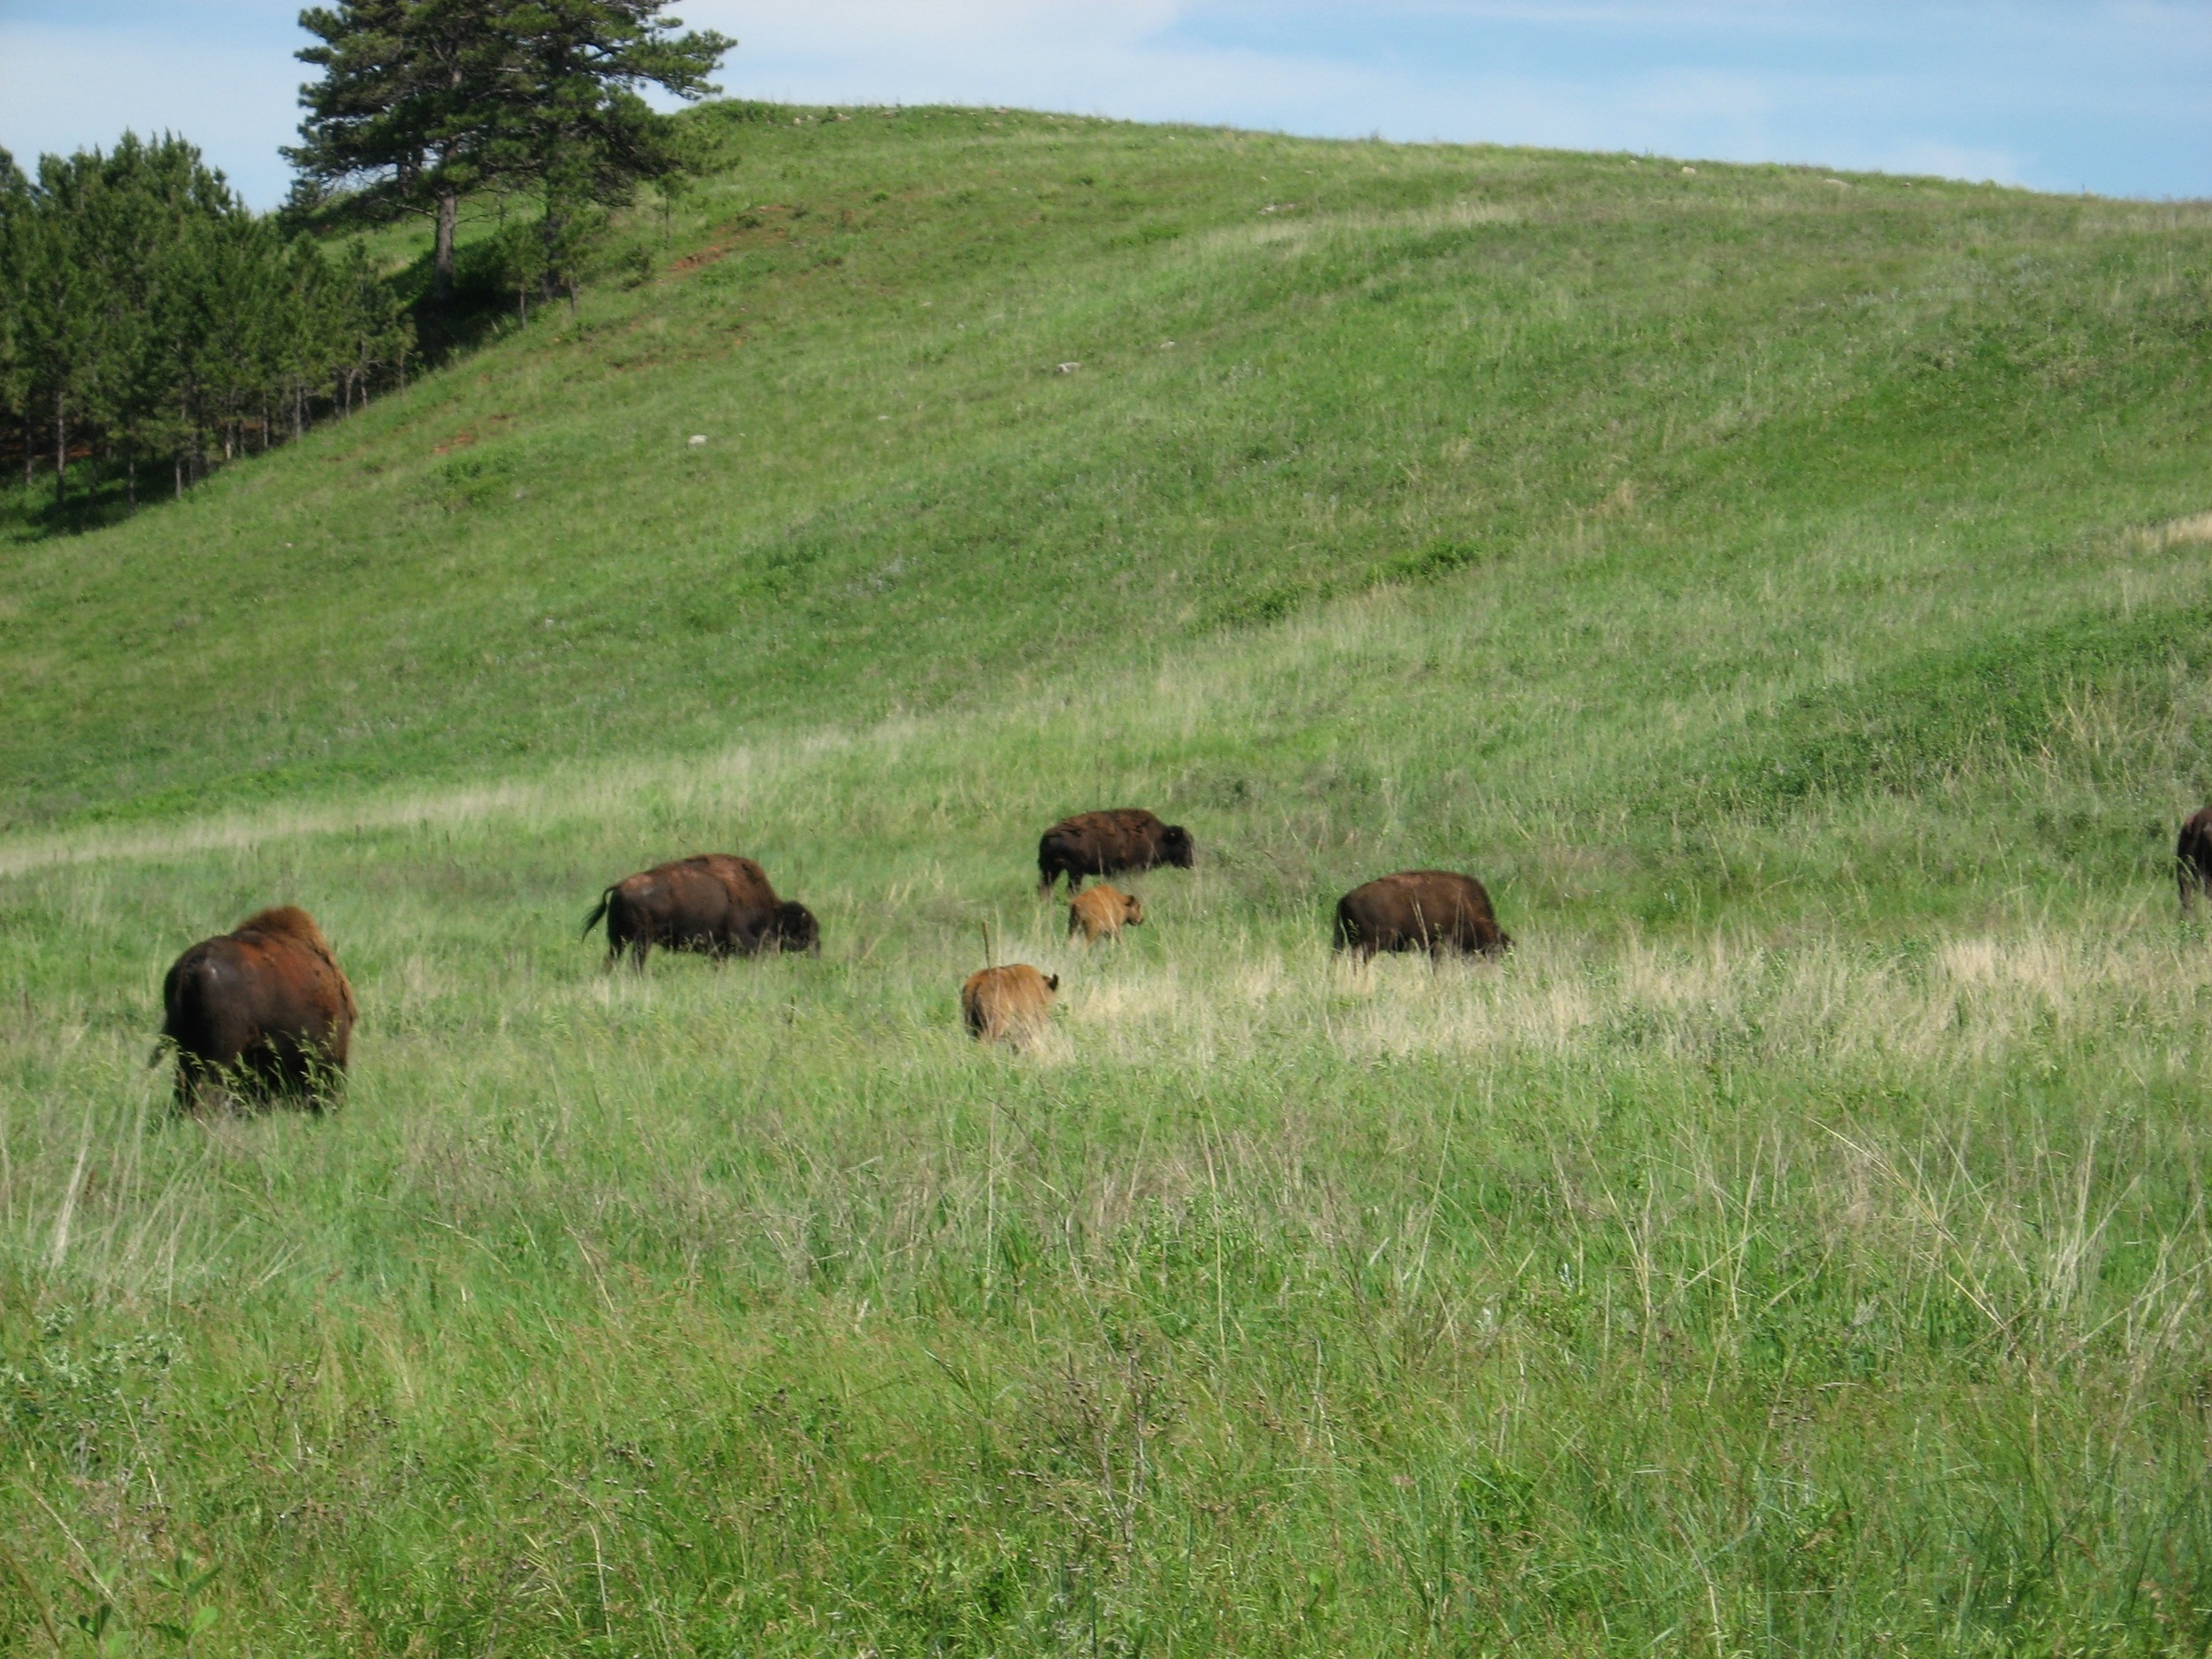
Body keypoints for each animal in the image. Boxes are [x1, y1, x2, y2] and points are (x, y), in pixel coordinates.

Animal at [588, 849, 823, 969]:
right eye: (806, 931)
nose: (817, 951)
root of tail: (620, 886)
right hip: (641, 941)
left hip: (618, 939)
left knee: (611, 961)